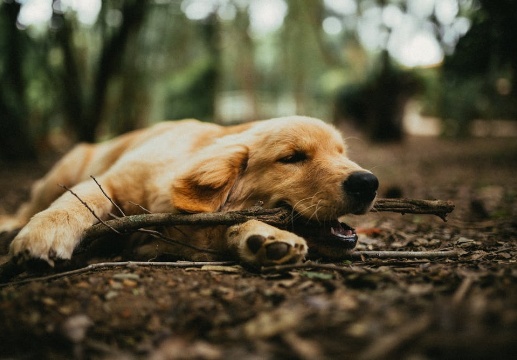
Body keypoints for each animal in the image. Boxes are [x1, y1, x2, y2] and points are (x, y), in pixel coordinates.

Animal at [1, 116, 378, 268]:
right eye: (292, 157)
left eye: (342, 153)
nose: (368, 183)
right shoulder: (109, 181)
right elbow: (76, 202)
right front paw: (46, 232)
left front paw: (262, 236)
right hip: (64, 169)